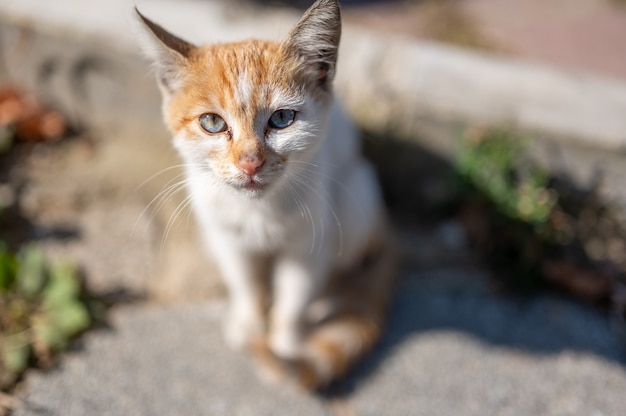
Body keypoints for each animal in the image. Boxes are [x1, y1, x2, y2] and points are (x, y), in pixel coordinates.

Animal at [136, 0, 392, 390]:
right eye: (212, 123)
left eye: (282, 118)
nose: (250, 162)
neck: (257, 213)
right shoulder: (227, 237)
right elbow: (246, 285)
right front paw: (248, 325)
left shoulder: (310, 240)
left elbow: (294, 296)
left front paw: (286, 342)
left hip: (355, 198)